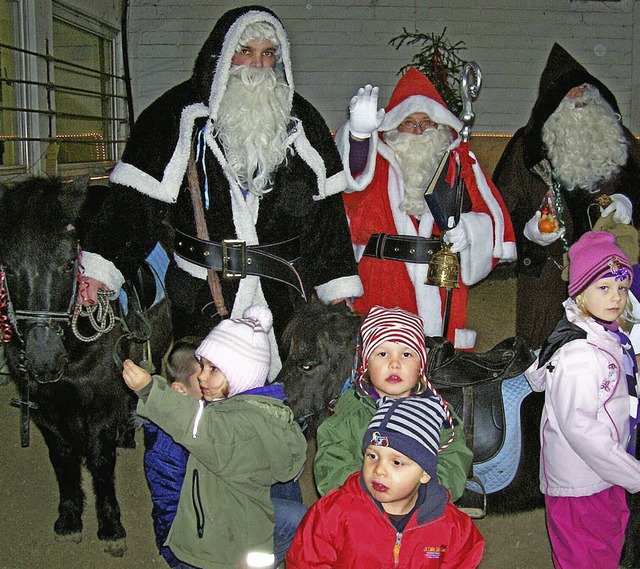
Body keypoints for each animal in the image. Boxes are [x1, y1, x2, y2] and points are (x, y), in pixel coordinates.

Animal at [0, 178, 172, 556]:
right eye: (7, 266)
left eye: (69, 264)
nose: (43, 358)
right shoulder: (45, 406)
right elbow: (63, 458)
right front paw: (69, 518)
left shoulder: (101, 401)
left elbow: (99, 459)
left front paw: (110, 525)